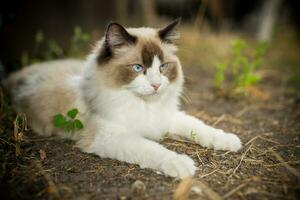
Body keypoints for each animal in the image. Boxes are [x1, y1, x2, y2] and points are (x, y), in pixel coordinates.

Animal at [3, 19, 243, 178]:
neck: (144, 106)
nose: (156, 85)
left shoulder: (166, 118)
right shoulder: (111, 136)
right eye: (138, 68)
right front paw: (181, 164)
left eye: (162, 67)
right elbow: (152, 148)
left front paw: (229, 141)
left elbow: (200, 127)